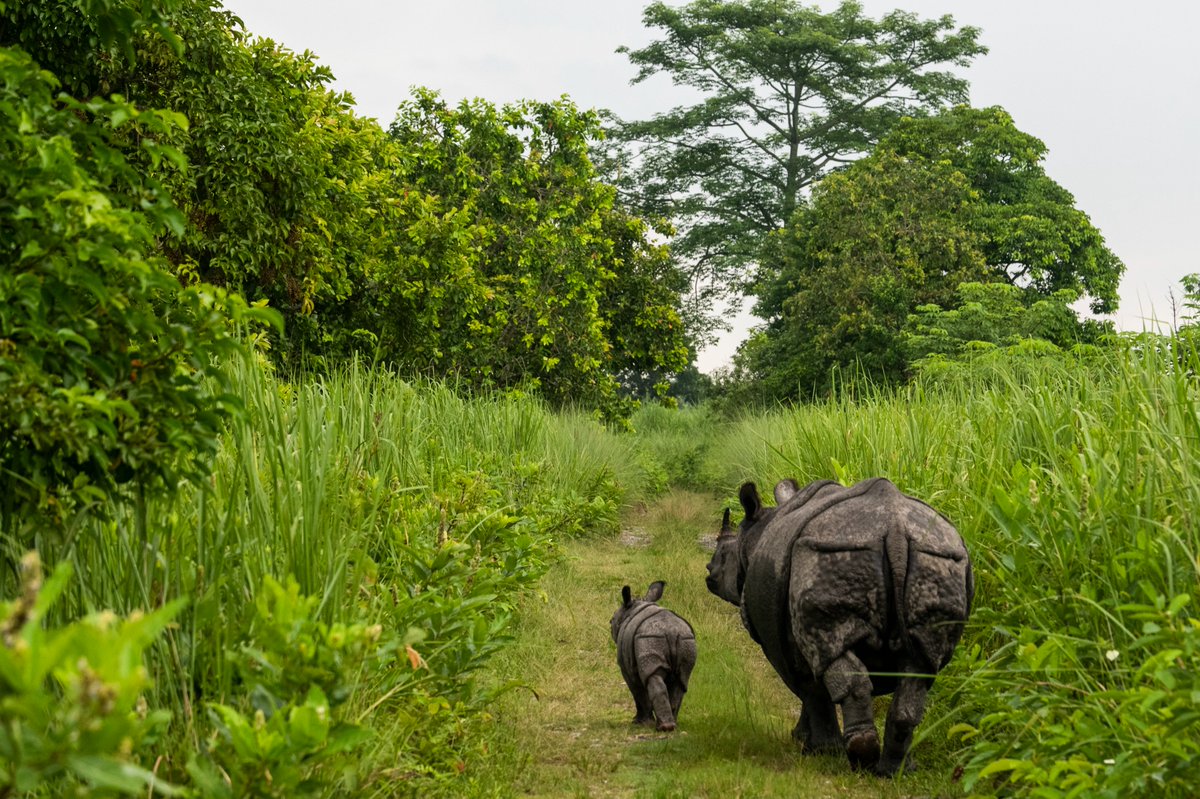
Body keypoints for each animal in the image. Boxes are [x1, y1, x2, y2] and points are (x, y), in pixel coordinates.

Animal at [610, 581, 697, 732]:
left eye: (612, 620)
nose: (610, 624)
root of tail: (672, 631)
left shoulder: (627, 668)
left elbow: (637, 692)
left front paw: (639, 722)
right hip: (684, 640)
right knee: (681, 680)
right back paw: (672, 725)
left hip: (650, 638)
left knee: (653, 678)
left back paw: (663, 727)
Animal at [705, 477, 973, 776]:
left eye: (723, 553)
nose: (708, 574)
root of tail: (895, 531)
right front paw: (810, 742)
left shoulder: (779, 643)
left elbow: (808, 689)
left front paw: (811, 745)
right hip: (938, 560)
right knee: (919, 670)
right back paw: (897, 770)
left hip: (829, 555)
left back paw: (859, 757)